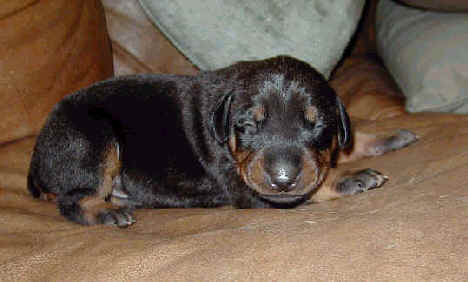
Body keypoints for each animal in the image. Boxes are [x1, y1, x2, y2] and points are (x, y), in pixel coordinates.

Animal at [28, 56, 416, 228]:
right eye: (248, 126)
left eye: (317, 125)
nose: (283, 178)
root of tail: (36, 162)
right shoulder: (246, 186)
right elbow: (316, 183)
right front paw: (352, 176)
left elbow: (343, 146)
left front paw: (389, 135)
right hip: (91, 136)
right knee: (74, 198)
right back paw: (104, 210)